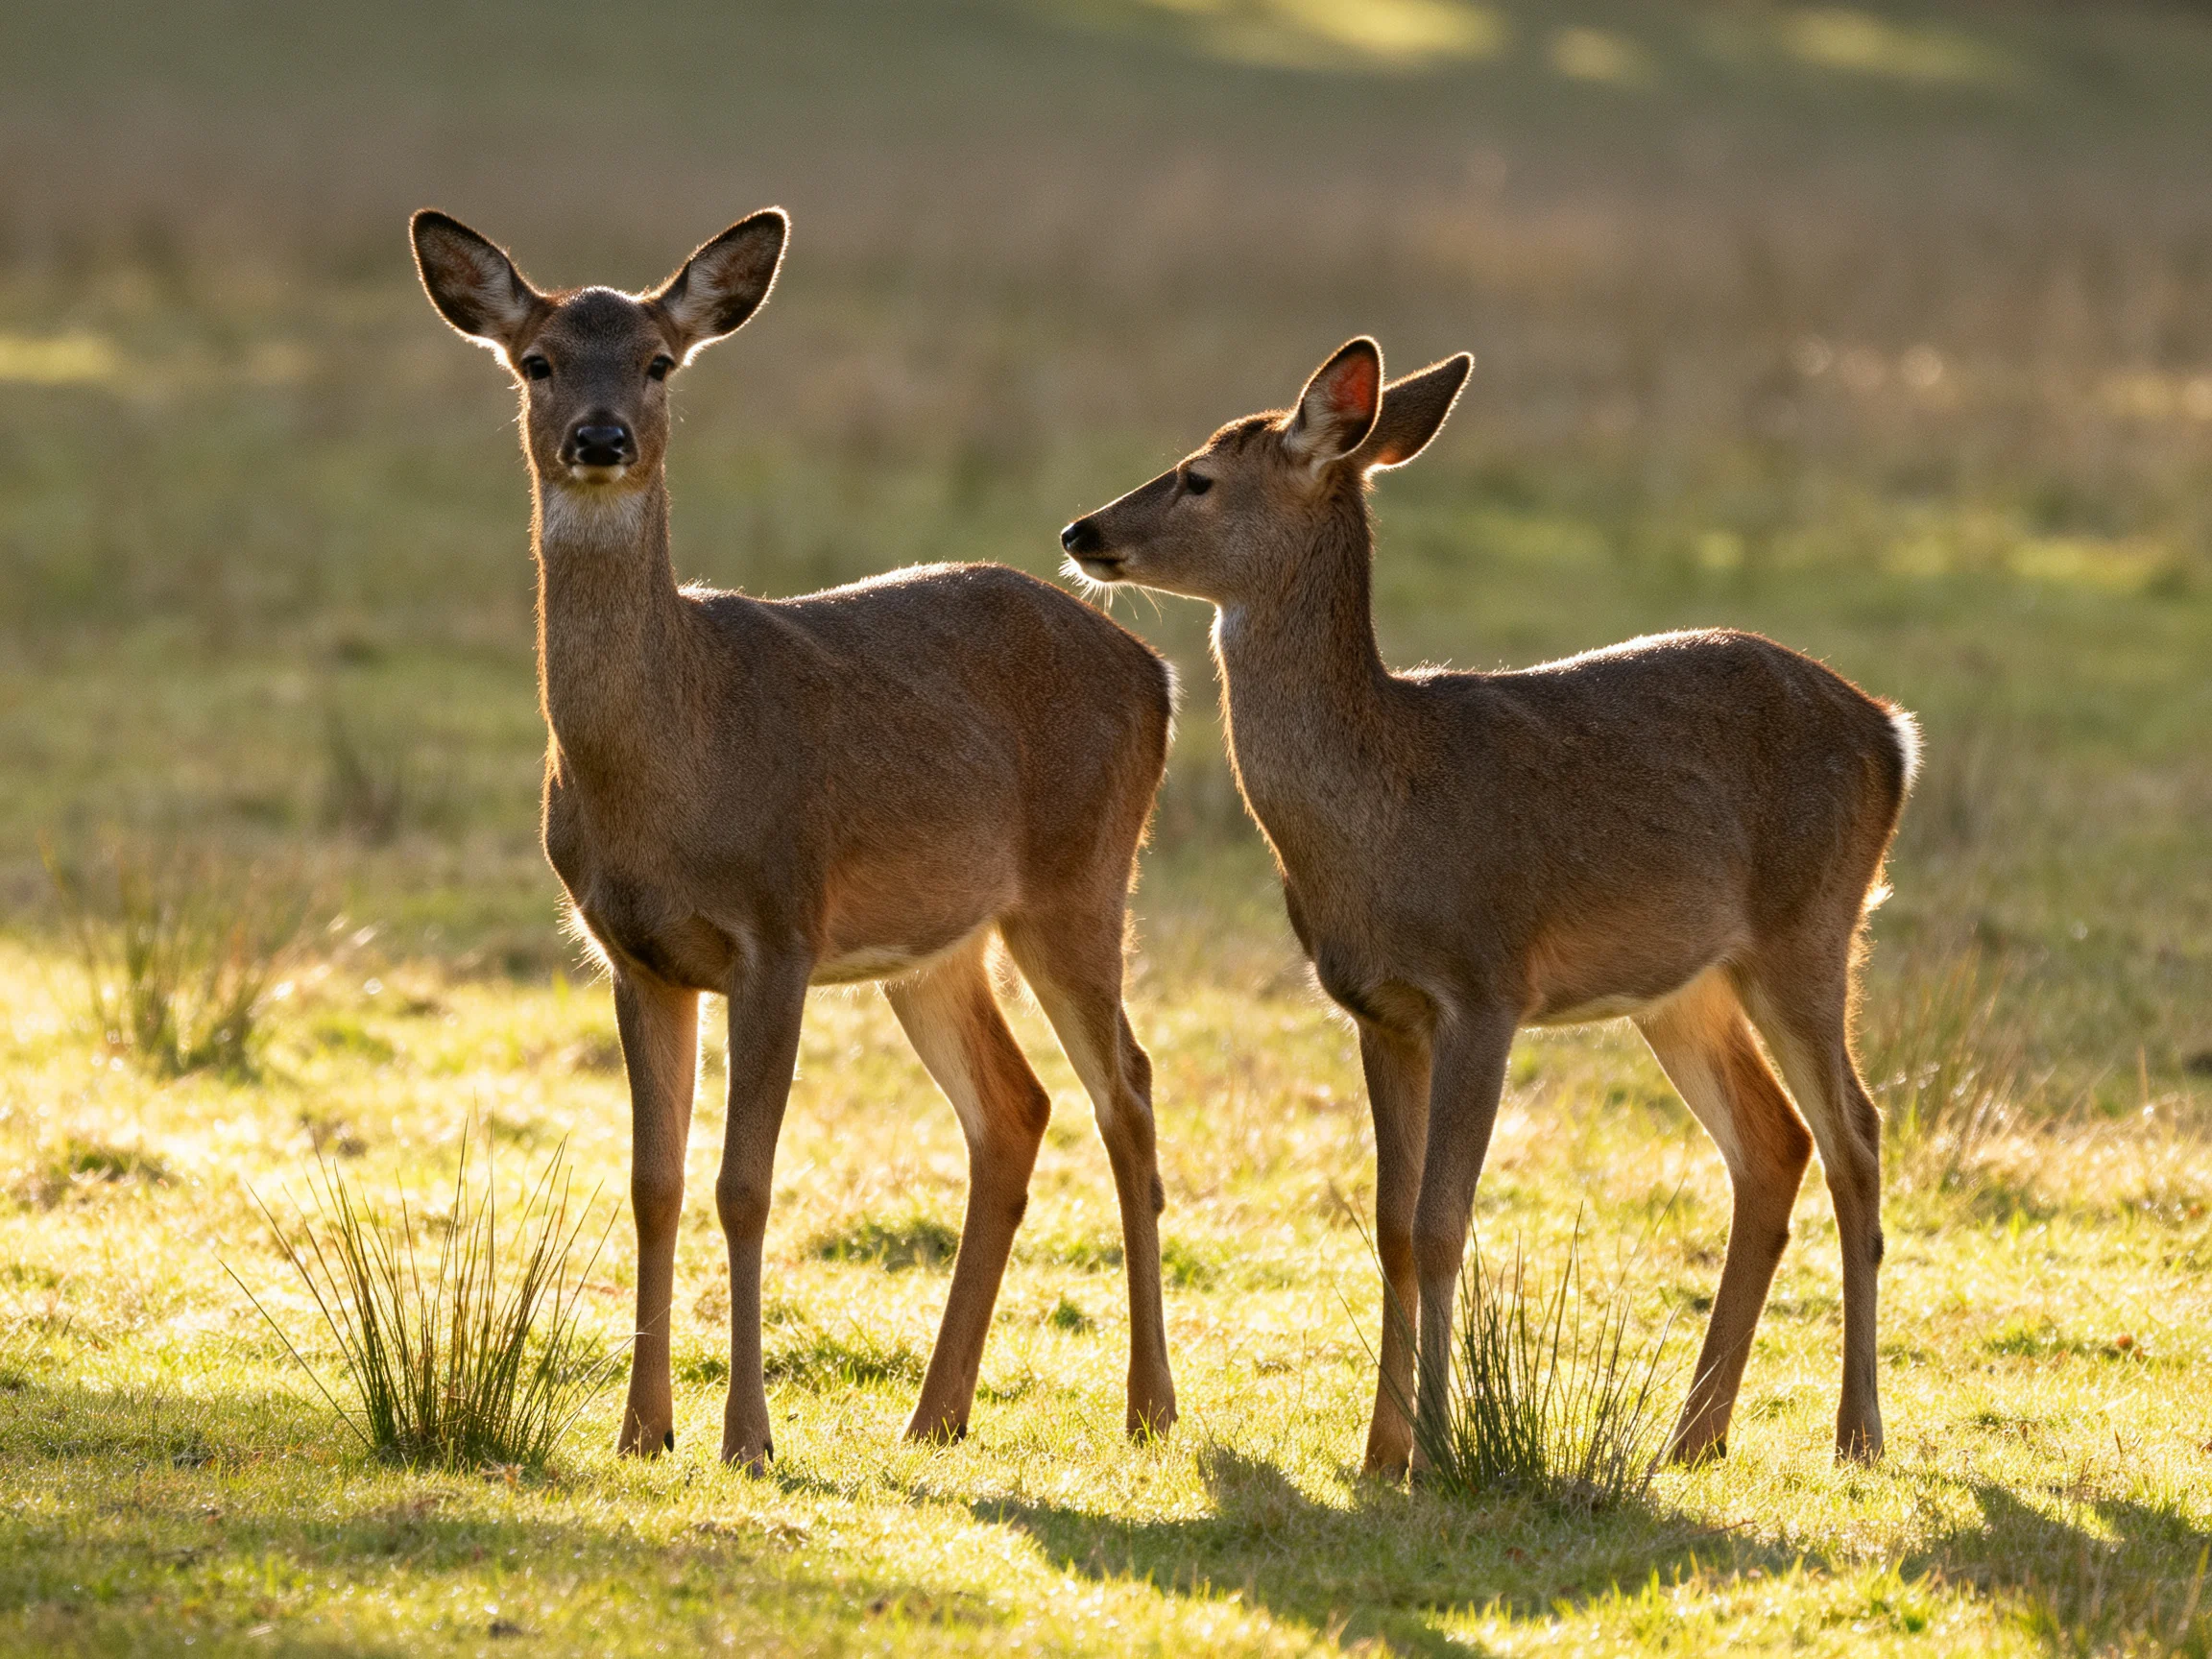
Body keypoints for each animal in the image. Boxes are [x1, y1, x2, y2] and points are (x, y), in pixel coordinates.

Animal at [409, 207, 1179, 1470]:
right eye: (538, 360)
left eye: (659, 361)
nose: (600, 438)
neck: (676, 766)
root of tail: (1158, 671)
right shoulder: (635, 956)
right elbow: (654, 1182)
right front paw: (641, 1430)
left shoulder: (780, 928)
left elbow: (745, 1184)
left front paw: (746, 1436)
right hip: (937, 942)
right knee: (1015, 1108)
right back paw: (936, 1414)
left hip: (1080, 881)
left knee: (1129, 1091)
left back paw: (1149, 1407)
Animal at [1060, 337, 1917, 1473]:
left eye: (1198, 478)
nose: (1081, 531)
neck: (1385, 812)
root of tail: (1894, 735)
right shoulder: (1379, 1009)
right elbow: (1391, 1223)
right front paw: (1381, 1450)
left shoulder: (1486, 985)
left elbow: (1440, 1222)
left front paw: (1438, 1449)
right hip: (1681, 983)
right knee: (1775, 1143)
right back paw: (1693, 1437)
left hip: (1809, 927)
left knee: (1857, 1135)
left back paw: (1857, 1432)